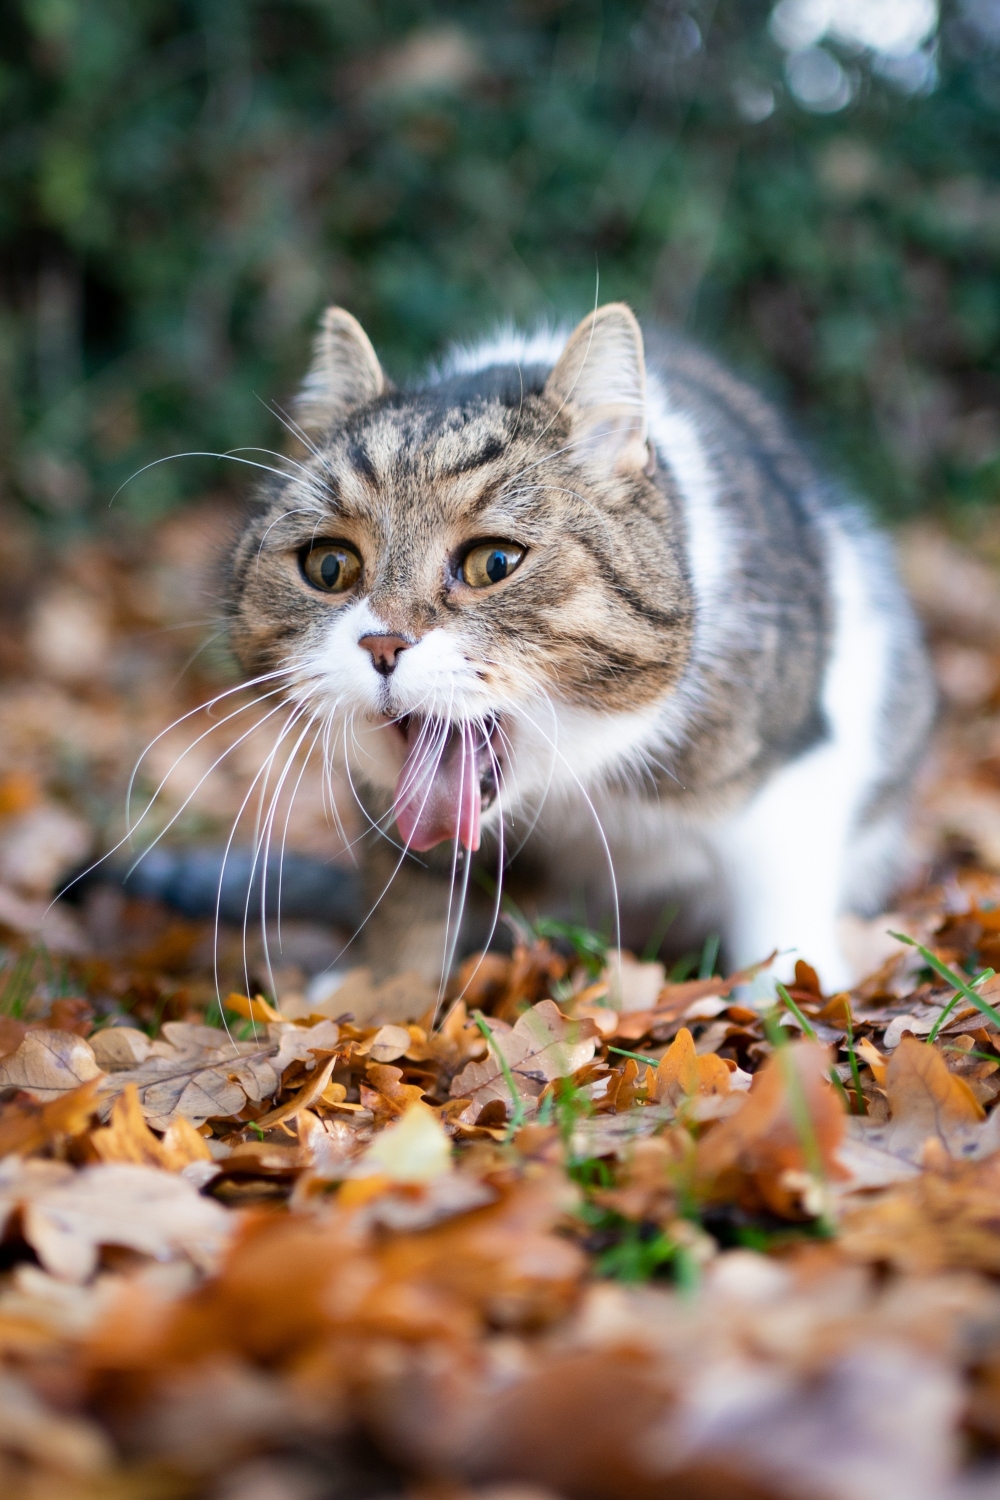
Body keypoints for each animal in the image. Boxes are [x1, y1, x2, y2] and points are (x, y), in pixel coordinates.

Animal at [223, 298, 935, 990]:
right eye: (329, 567)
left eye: (495, 562)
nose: (382, 644)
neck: (570, 781)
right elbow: (409, 898)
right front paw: (382, 994)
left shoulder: (793, 758)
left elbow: (778, 895)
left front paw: (793, 997)